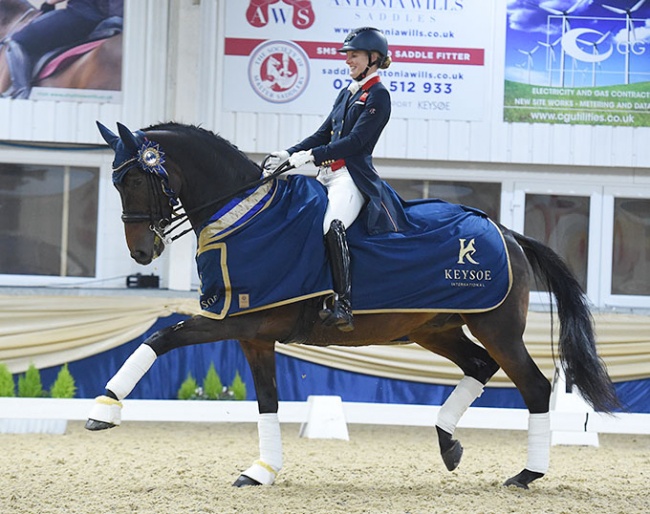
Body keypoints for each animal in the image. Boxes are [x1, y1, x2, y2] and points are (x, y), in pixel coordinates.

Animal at [87, 120, 616, 488]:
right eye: (115, 183)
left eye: (135, 181)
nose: (142, 253)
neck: (243, 215)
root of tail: (507, 233)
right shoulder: (253, 335)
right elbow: (267, 402)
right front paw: (262, 471)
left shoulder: (234, 319)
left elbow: (162, 336)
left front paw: (104, 410)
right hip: (436, 328)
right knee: (480, 367)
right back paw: (448, 444)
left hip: (497, 327)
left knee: (533, 385)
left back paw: (527, 475)